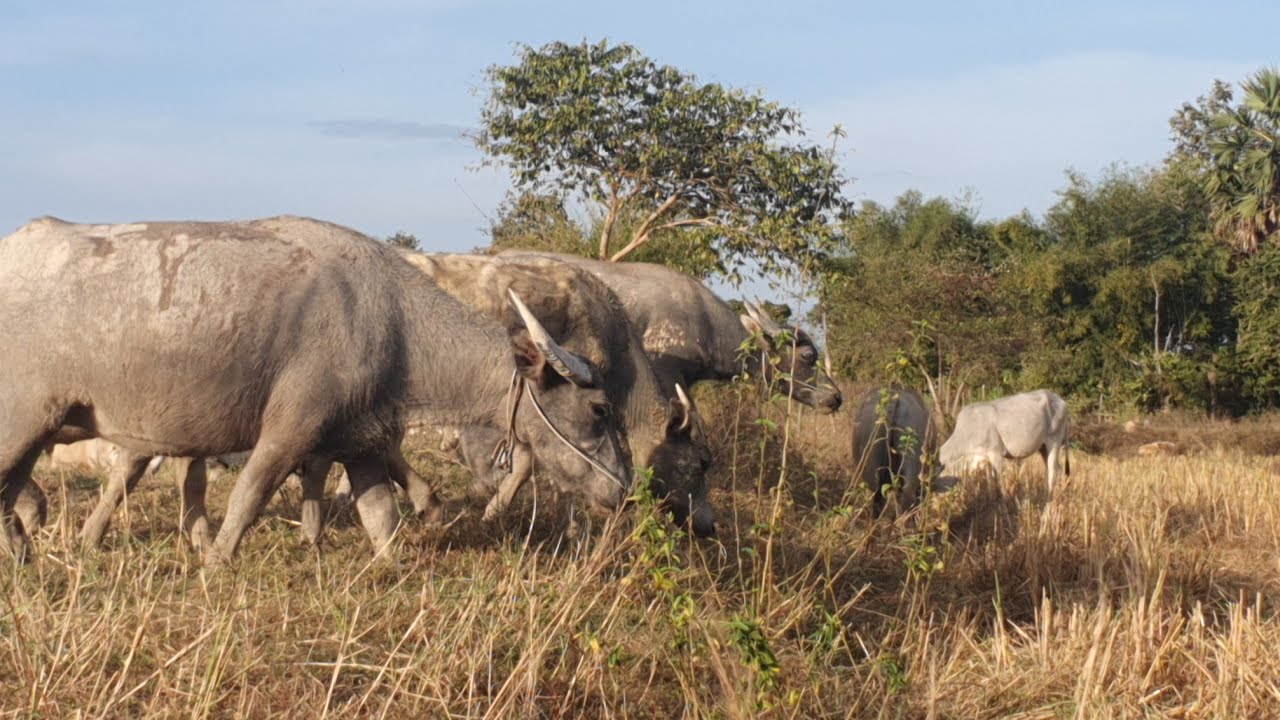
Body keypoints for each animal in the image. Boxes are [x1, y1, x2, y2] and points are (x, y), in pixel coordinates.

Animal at [0, 216, 630, 564]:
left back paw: (25, 558)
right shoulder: (290, 430)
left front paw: (390, 561)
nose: (624, 489)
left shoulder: (364, 442)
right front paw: (218, 562)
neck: (394, 324)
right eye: (599, 409)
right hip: (25, 424)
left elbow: (381, 517)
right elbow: (249, 495)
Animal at [938, 389, 1071, 492]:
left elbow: (1000, 483)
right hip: (1043, 448)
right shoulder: (984, 462)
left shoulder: (996, 454)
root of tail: (1061, 401)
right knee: (1058, 470)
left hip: (1054, 442)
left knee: (1053, 471)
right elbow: (991, 485)